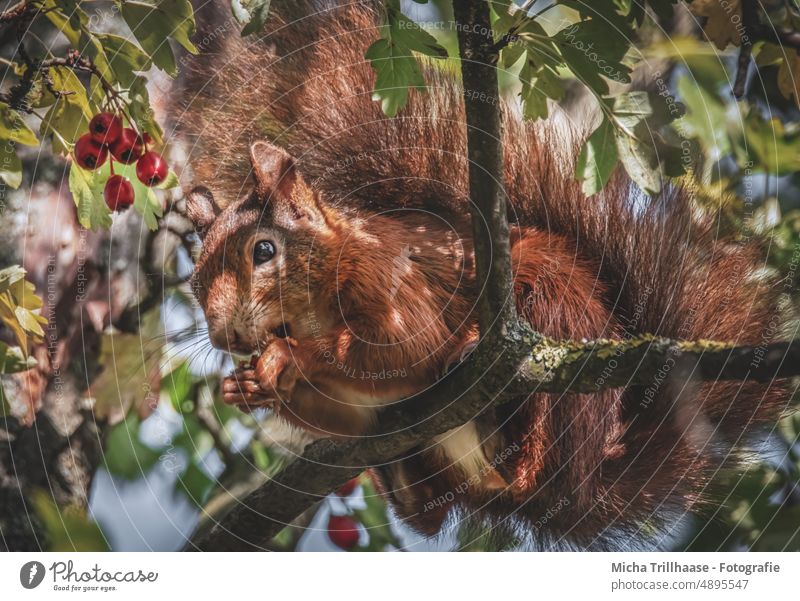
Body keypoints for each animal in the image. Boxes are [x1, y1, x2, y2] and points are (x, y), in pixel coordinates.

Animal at [177, 0, 788, 548]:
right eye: (194, 279)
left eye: (263, 251)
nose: (225, 337)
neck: (317, 298)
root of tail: (587, 487)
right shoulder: (369, 411)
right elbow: (354, 415)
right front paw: (246, 386)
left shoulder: (391, 279)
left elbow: (403, 349)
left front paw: (286, 359)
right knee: (430, 514)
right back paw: (405, 489)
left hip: (554, 320)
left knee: (536, 453)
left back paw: (489, 393)